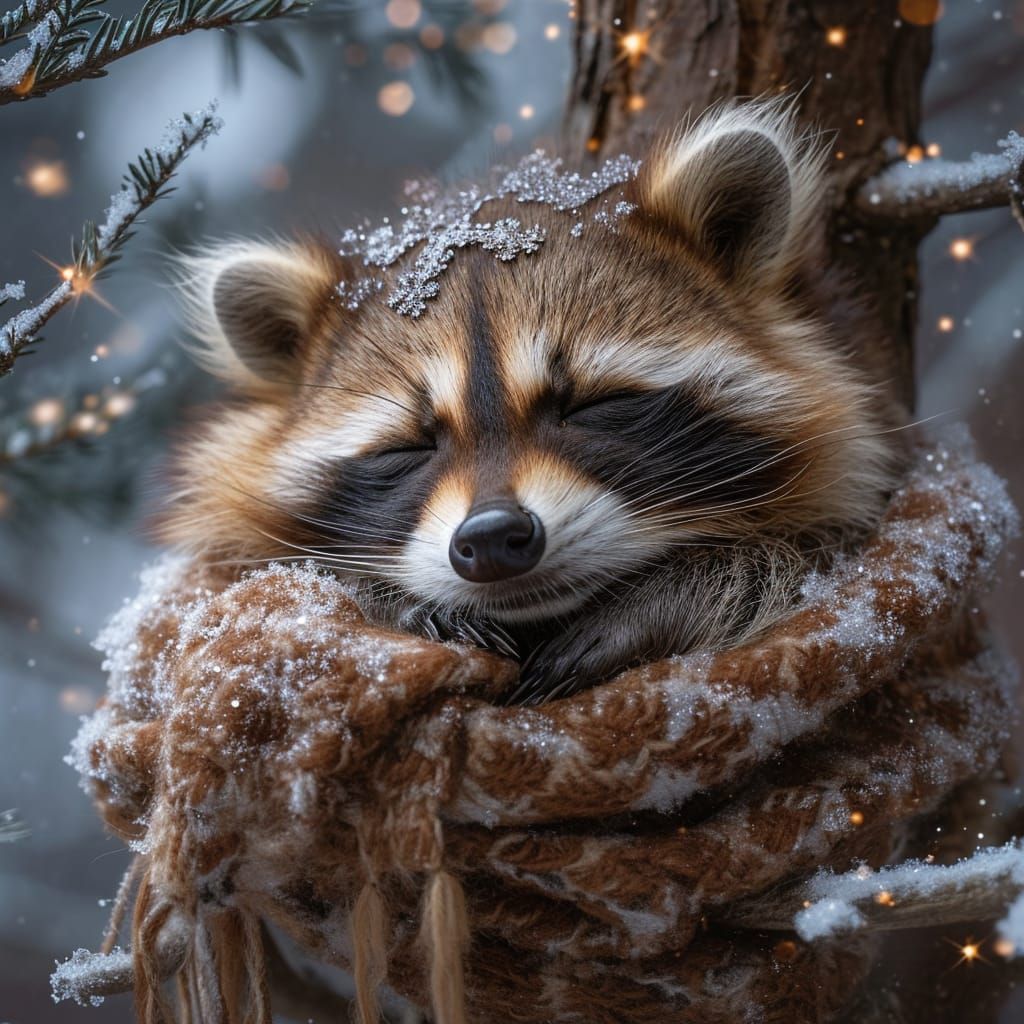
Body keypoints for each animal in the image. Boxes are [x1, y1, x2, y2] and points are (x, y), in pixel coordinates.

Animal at [163, 101, 900, 703]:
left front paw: (666, 601)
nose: (491, 538)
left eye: (594, 406)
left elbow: (791, 562)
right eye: (407, 447)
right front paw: (392, 604)